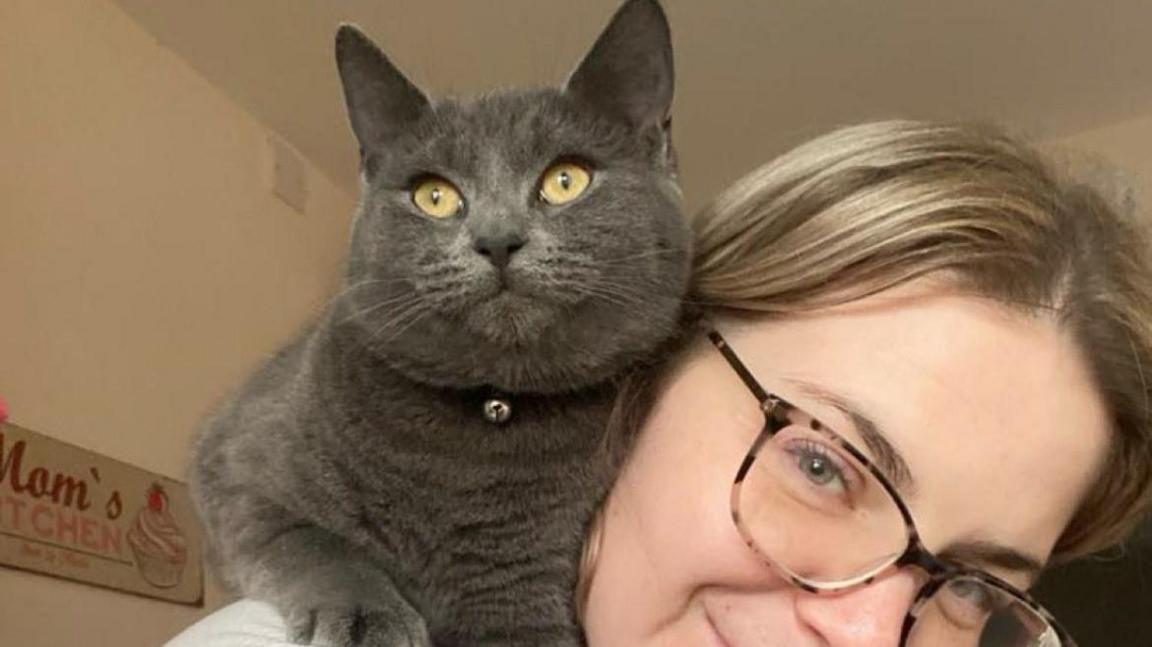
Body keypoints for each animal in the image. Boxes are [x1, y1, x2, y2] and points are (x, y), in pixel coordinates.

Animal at [193, 2, 686, 640]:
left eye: (565, 180)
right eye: (434, 195)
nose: (498, 238)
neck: (491, 407)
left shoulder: (520, 588)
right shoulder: (237, 469)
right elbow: (314, 543)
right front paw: (366, 617)